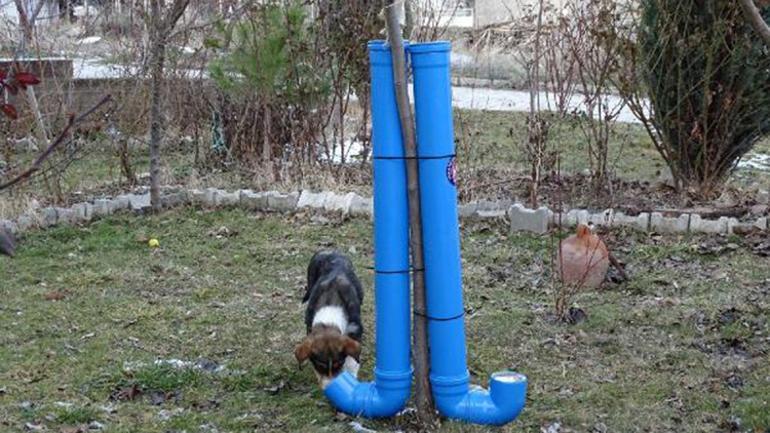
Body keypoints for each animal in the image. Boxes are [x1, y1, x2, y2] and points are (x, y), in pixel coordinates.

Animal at [296, 250, 364, 388]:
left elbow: (352, 359)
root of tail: (327, 250)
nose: (330, 387)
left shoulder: (355, 328)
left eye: (339, 364)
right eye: (320, 366)